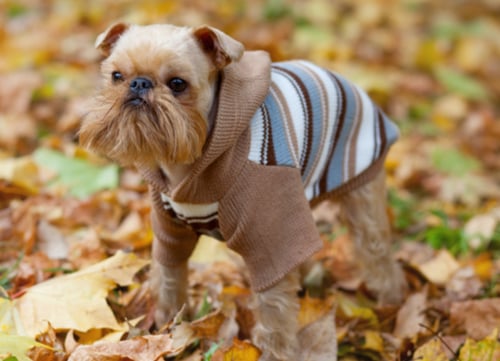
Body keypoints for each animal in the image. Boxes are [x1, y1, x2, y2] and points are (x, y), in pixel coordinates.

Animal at [78, 23, 406, 360]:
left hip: (360, 195)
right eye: (117, 76)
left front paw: (273, 354)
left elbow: (274, 311)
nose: (139, 83)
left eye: (178, 84)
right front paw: (166, 328)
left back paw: (391, 303)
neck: (187, 164)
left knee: (376, 251)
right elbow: (169, 277)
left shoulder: (272, 239)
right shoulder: (170, 231)